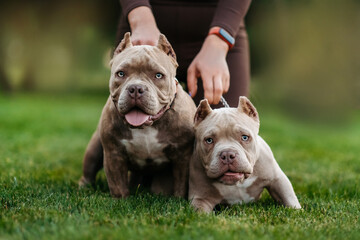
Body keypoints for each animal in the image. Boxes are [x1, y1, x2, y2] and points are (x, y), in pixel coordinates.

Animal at [79, 32, 197, 198]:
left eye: (158, 75)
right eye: (121, 73)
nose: (135, 88)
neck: (146, 127)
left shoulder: (183, 157)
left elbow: (181, 184)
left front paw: (179, 200)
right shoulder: (113, 154)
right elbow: (117, 185)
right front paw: (121, 200)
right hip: (95, 148)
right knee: (89, 169)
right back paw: (85, 187)